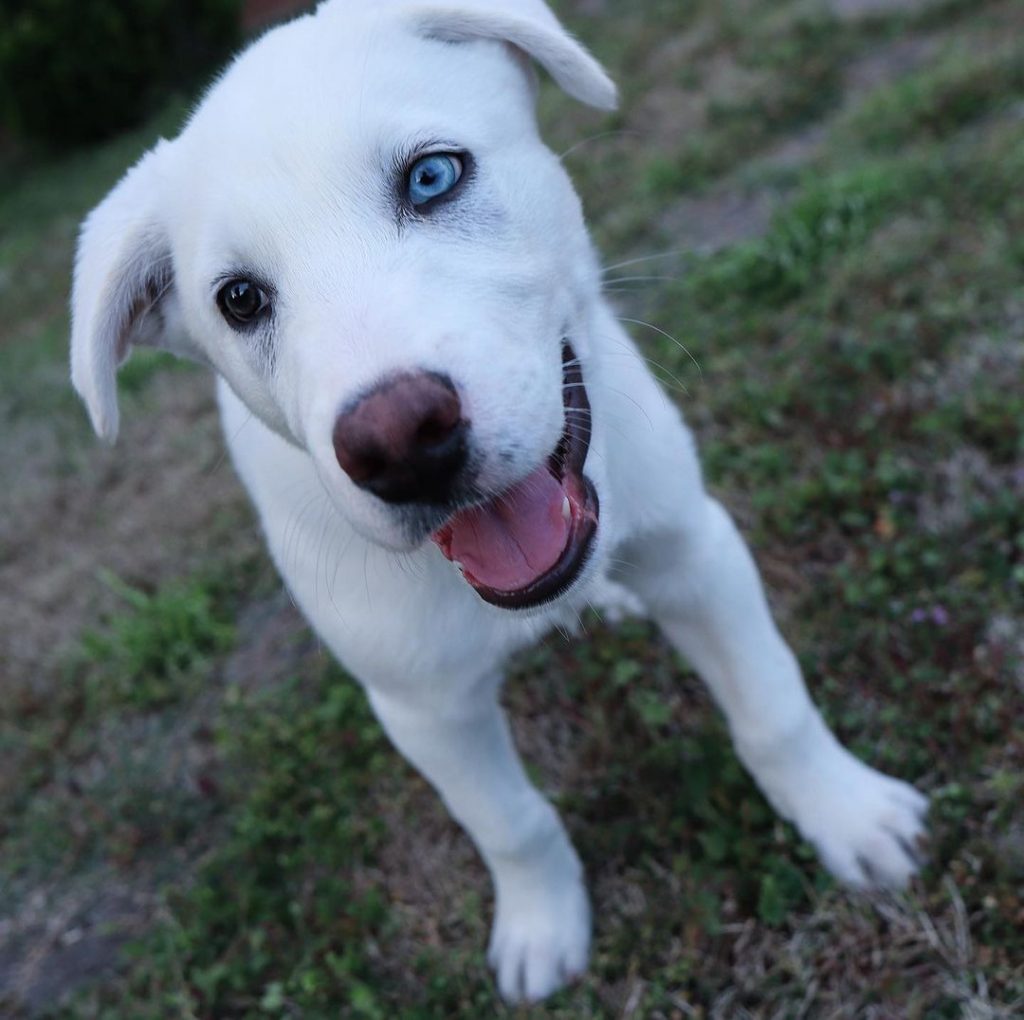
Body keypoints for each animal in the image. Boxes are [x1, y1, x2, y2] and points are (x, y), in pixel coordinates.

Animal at [70, 0, 929, 1003]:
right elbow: (511, 826)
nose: (399, 443)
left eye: (432, 176)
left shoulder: (695, 546)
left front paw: (850, 816)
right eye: (239, 299)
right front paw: (541, 926)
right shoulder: (422, 705)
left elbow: (773, 710)